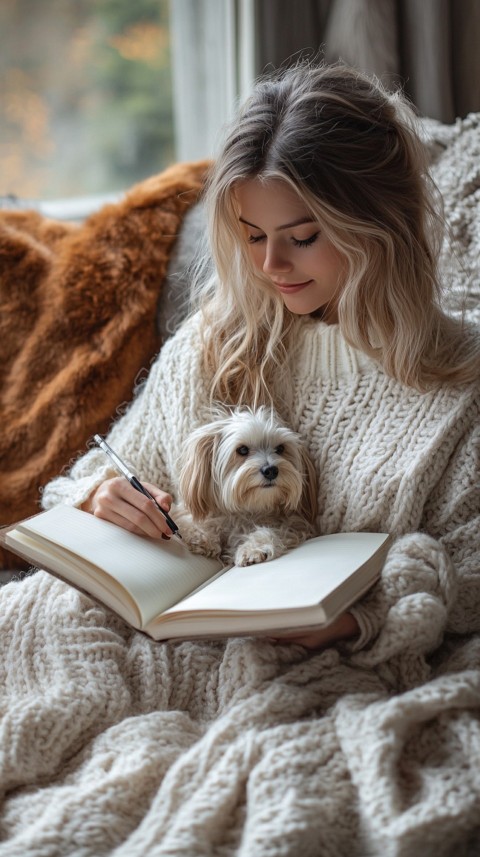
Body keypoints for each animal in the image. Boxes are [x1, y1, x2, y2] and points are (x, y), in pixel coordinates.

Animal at [173, 408, 318, 568]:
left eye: (280, 448)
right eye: (242, 450)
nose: (271, 470)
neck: (249, 509)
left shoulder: (296, 524)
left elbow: (274, 530)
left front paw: (253, 548)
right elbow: (186, 521)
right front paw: (201, 536)